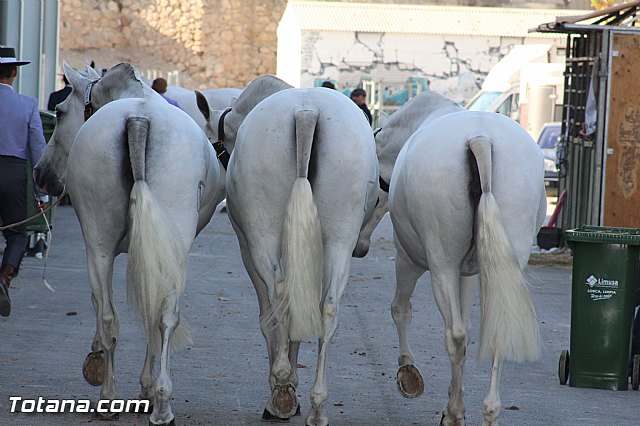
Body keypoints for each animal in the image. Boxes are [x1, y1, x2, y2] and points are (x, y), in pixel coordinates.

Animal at [35, 61, 225, 424]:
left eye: (60, 112)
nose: (40, 173)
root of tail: (138, 120)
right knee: (159, 314)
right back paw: (155, 403)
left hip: (99, 244)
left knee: (116, 314)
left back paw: (117, 398)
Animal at [198, 75, 380, 424]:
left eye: (214, 143)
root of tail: (305, 113)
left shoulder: (247, 246)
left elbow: (268, 315)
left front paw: (284, 387)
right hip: (340, 238)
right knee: (328, 307)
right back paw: (318, 405)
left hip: (263, 235)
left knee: (279, 297)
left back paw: (281, 389)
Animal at [356, 92, 544, 426]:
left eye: (374, 194)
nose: (359, 246)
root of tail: (480, 139)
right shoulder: (466, 273)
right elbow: (467, 327)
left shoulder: (409, 260)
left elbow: (401, 309)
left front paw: (409, 373)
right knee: (495, 331)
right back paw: (489, 411)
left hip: (440, 266)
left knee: (453, 335)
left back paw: (455, 413)